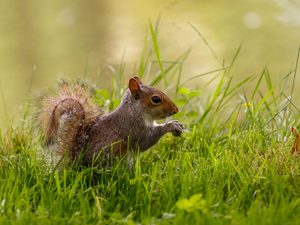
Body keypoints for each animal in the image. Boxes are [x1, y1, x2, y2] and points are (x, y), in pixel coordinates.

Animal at [36, 75, 184, 167]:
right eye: (156, 99)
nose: (175, 110)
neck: (135, 111)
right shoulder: (131, 127)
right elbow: (145, 140)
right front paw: (170, 126)